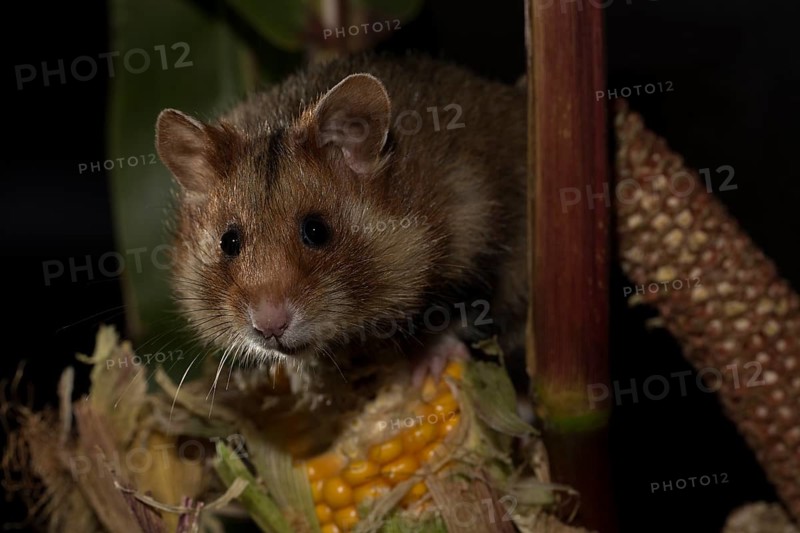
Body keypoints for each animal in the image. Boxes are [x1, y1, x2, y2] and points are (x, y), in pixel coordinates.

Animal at [155, 54, 528, 377]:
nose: (269, 327)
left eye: (317, 230)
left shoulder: (478, 228)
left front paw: (430, 368)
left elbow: (453, 310)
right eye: (228, 242)